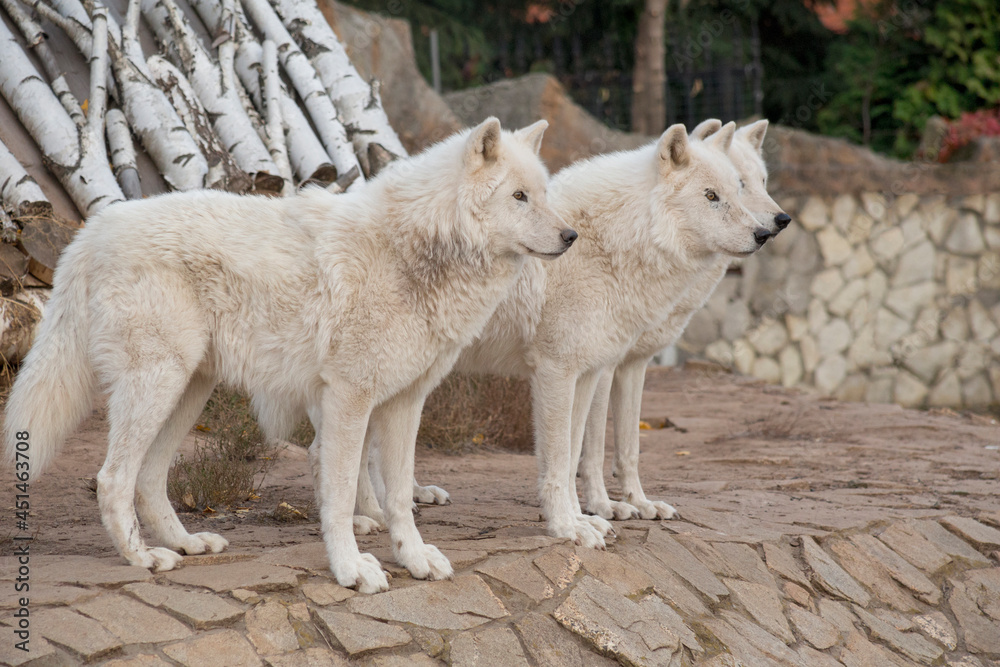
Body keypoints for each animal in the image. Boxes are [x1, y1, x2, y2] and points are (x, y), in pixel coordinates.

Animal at [3, 118, 574, 593]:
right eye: (519, 196)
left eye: (545, 194)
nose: (570, 236)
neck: (415, 250)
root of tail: (90, 231)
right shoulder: (348, 397)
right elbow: (341, 493)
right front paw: (351, 569)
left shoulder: (404, 403)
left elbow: (398, 498)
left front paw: (413, 560)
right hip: (158, 385)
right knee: (113, 478)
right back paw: (143, 559)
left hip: (188, 391)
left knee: (148, 477)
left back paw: (186, 544)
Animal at [576, 119, 791, 522]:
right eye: (738, 186)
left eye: (763, 181)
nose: (779, 222)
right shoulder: (602, 365)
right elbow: (591, 444)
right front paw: (601, 505)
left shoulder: (634, 364)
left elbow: (629, 445)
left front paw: (639, 502)